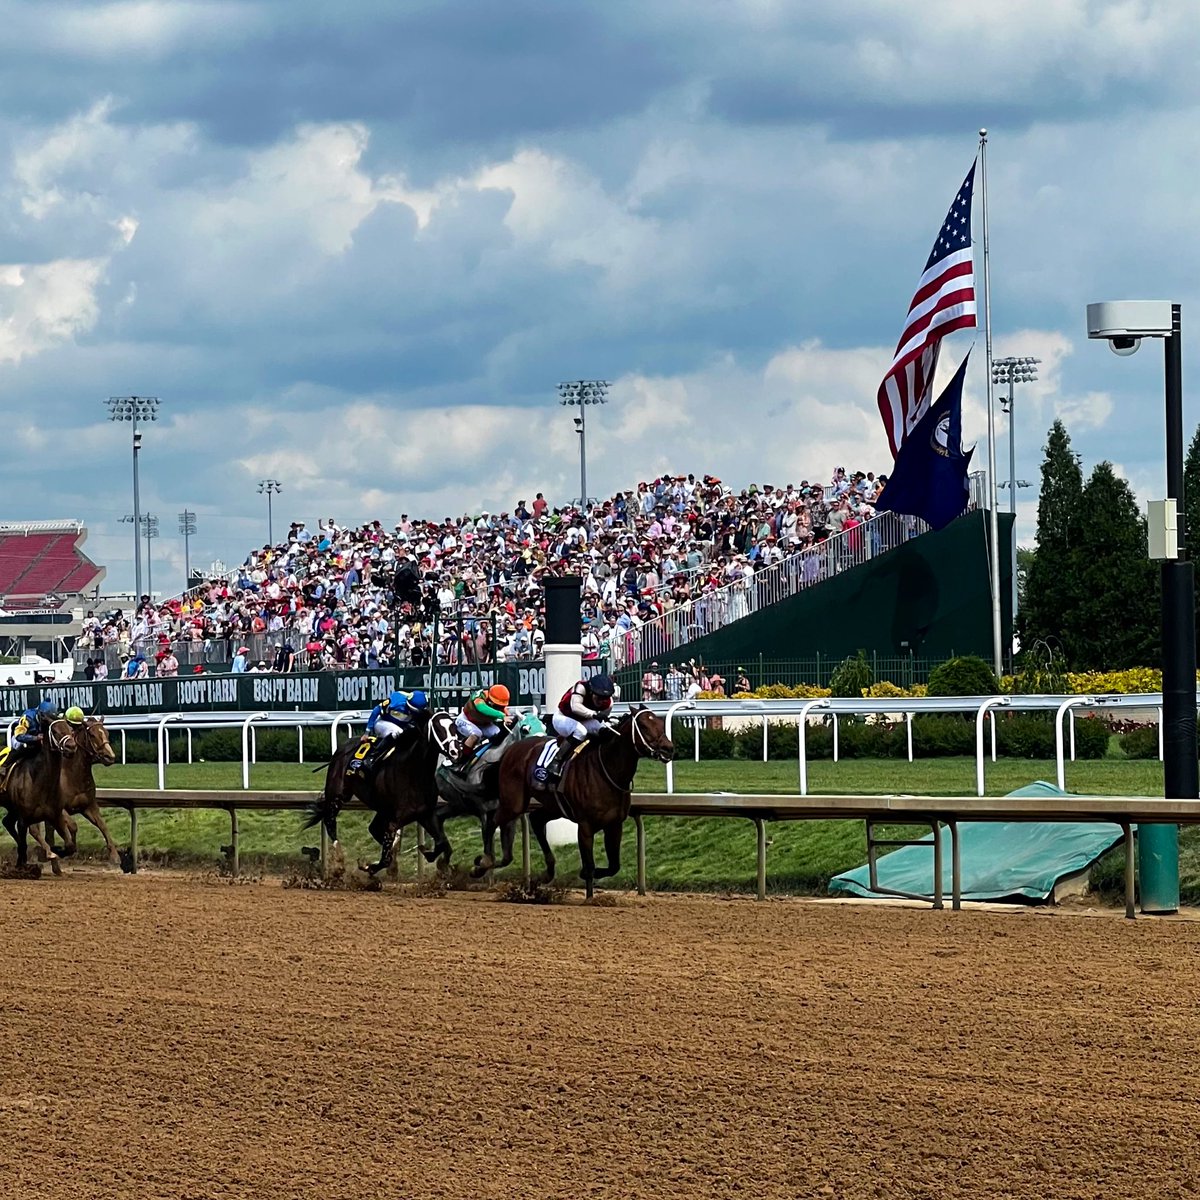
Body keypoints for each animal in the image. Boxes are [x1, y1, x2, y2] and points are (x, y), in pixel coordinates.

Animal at [0, 715, 81, 878]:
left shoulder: (55, 815)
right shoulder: (24, 818)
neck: (41, 780)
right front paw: (21, 868)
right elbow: (23, 844)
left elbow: (70, 846)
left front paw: (55, 850)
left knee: (7, 822)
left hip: (12, 808)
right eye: (55, 731)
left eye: (70, 729)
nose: (71, 747)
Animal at [304, 705, 458, 878]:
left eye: (454, 726)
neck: (414, 771)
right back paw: (339, 859)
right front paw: (369, 867)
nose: (455, 750)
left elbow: (443, 844)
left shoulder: (425, 814)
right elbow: (385, 859)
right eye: (438, 728)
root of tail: (343, 748)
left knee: (373, 829)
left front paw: (435, 859)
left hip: (381, 808)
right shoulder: (395, 820)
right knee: (330, 822)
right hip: (337, 794)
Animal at [472, 705, 676, 897]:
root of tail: (509, 751)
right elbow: (590, 864)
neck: (607, 770)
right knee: (492, 823)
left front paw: (587, 877)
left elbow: (613, 866)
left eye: (660, 723)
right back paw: (484, 863)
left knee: (536, 820)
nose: (668, 748)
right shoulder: (585, 826)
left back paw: (546, 873)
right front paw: (590, 896)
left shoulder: (614, 824)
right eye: (643, 725)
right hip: (514, 803)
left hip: (553, 806)